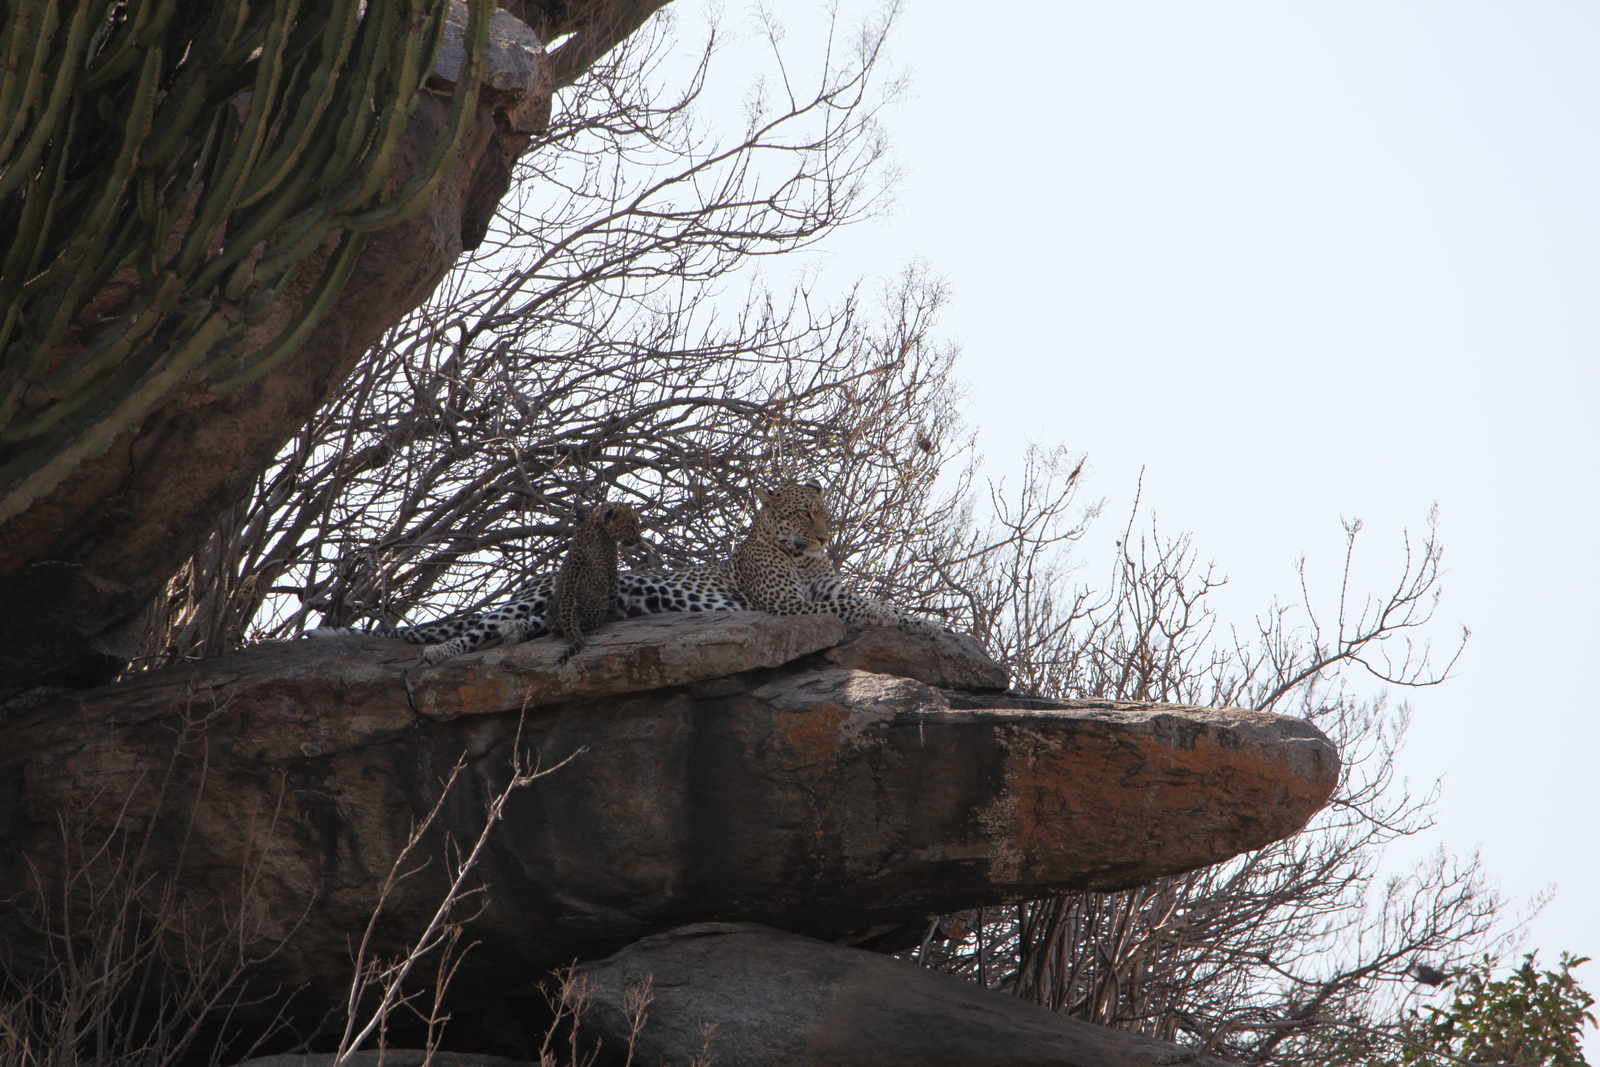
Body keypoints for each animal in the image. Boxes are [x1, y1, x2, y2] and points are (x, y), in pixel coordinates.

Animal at [320, 483, 940, 662]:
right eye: (802, 514)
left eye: (823, 512)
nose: (827, 536)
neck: (799, 554)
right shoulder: (787, 604)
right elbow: (848, 605)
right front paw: (888, 616)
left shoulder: (821, 584)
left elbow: (864, 599)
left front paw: (920, 622)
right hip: (532, 597)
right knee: (476, 629)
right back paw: (438, 653)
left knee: (521, 628)